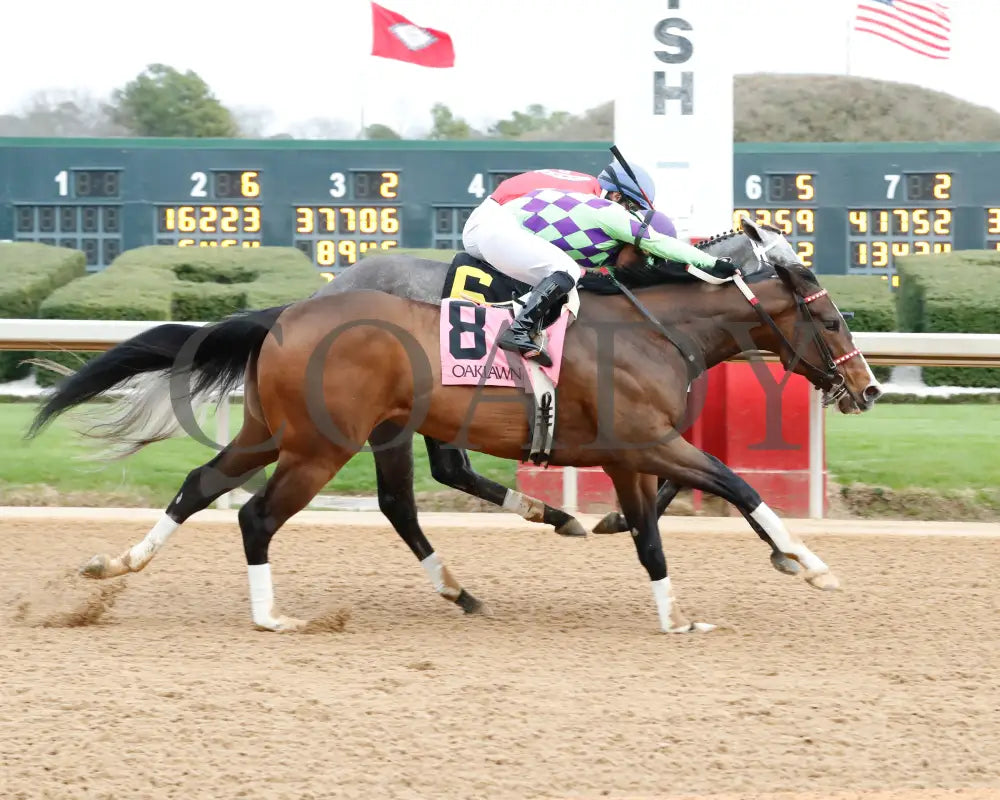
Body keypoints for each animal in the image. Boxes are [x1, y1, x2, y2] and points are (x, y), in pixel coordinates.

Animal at [27, 217, 880, 632]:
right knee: (265, 515)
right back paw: (275, 618)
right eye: (833, 319)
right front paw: (807, 563)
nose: (866, 386)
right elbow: (738, 487)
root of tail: (290, 312)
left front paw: (674, 618)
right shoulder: (649, 441)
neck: (650, 326)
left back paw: (115, 567)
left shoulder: (631, 454)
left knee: (204, 484)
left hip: (278, 431)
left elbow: (650, 536)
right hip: (325, 444)